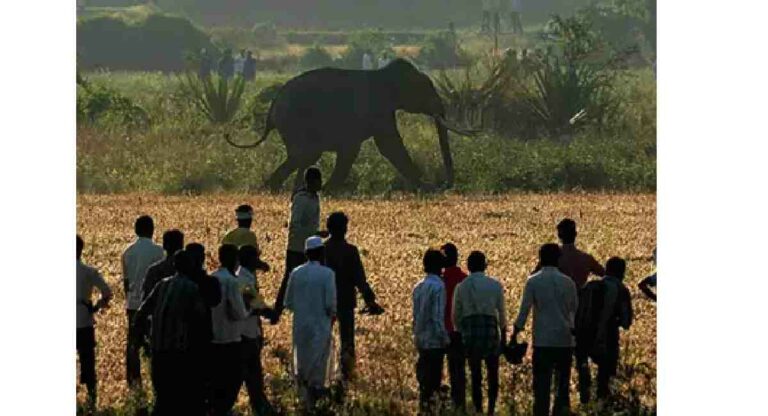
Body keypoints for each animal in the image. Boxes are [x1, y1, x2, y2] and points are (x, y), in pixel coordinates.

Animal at [225, 58, 474, 192]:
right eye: (425, 89)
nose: (445, 185)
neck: (385, 74)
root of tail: (273, 105)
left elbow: (362, 148)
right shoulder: (376, 108)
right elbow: (387, 145)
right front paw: (426, 187)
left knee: (302, 156)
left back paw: (276, 188)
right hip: (294, 121)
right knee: (304, 155)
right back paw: (280, 189)